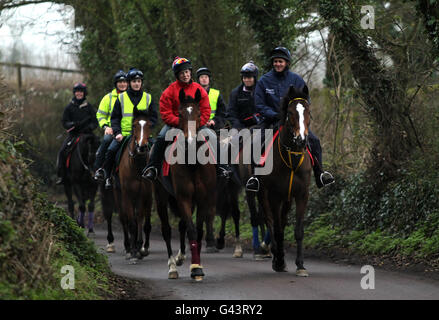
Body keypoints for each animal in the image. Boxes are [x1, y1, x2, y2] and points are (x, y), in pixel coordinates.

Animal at [113, 106, 155, 264]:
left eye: (149, 125)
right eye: (135, 125)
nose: (142, 147)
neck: (137, 165)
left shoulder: (145, 194)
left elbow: (141, 221)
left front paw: (140, 248)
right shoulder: (127, 195)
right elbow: (131, 222)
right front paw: (132, 252)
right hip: (118, 194)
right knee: (124, 219)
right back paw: (128, 247)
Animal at [155, 89, 217, 282]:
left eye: (198, 114)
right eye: (180, 114)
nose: (190, 142)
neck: (192, 161)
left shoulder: (203, 199)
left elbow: (198, 230)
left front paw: (196, 266)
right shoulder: (183, 197)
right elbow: (191, 229)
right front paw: (196, 268)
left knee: (181, 225)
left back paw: (181, 257)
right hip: (161, 197)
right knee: (166, 230)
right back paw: (172, 267)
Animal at [256, 85, 314, 278]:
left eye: (308, 112)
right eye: (290, 113)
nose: (301, 140)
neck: (291, 159)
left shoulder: (302, 195)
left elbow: (298, 230)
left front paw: (301, 265)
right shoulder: (275, 196)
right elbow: (277, 229)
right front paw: (279, 260)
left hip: (287, 200)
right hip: (264, 195)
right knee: (270, 222)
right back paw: (276, 256)